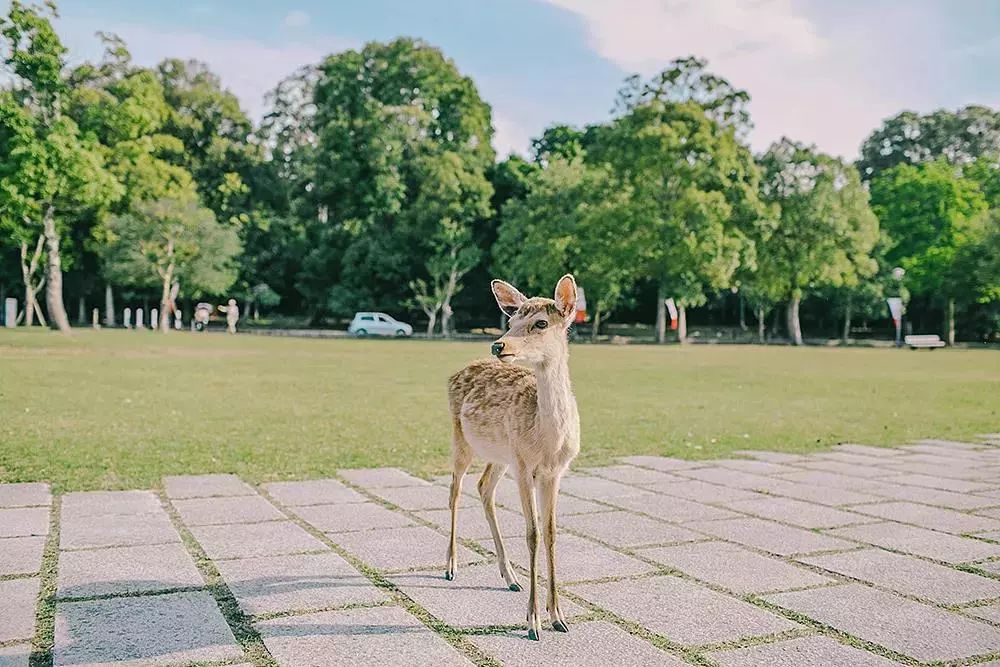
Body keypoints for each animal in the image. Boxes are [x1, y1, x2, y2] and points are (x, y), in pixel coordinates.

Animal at [444, 272, 580, 640]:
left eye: (541, 322)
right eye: (510, 321)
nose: (498, 345)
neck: (548, 441)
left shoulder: (554, 472)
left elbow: (551, 531)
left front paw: (558, 616)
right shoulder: (523, 465)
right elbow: (532, 533)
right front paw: (533, 622)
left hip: (499, 455)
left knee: (483, 487)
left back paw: (510, 577)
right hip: (461, 438)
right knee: (455, 490)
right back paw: (450, 566)